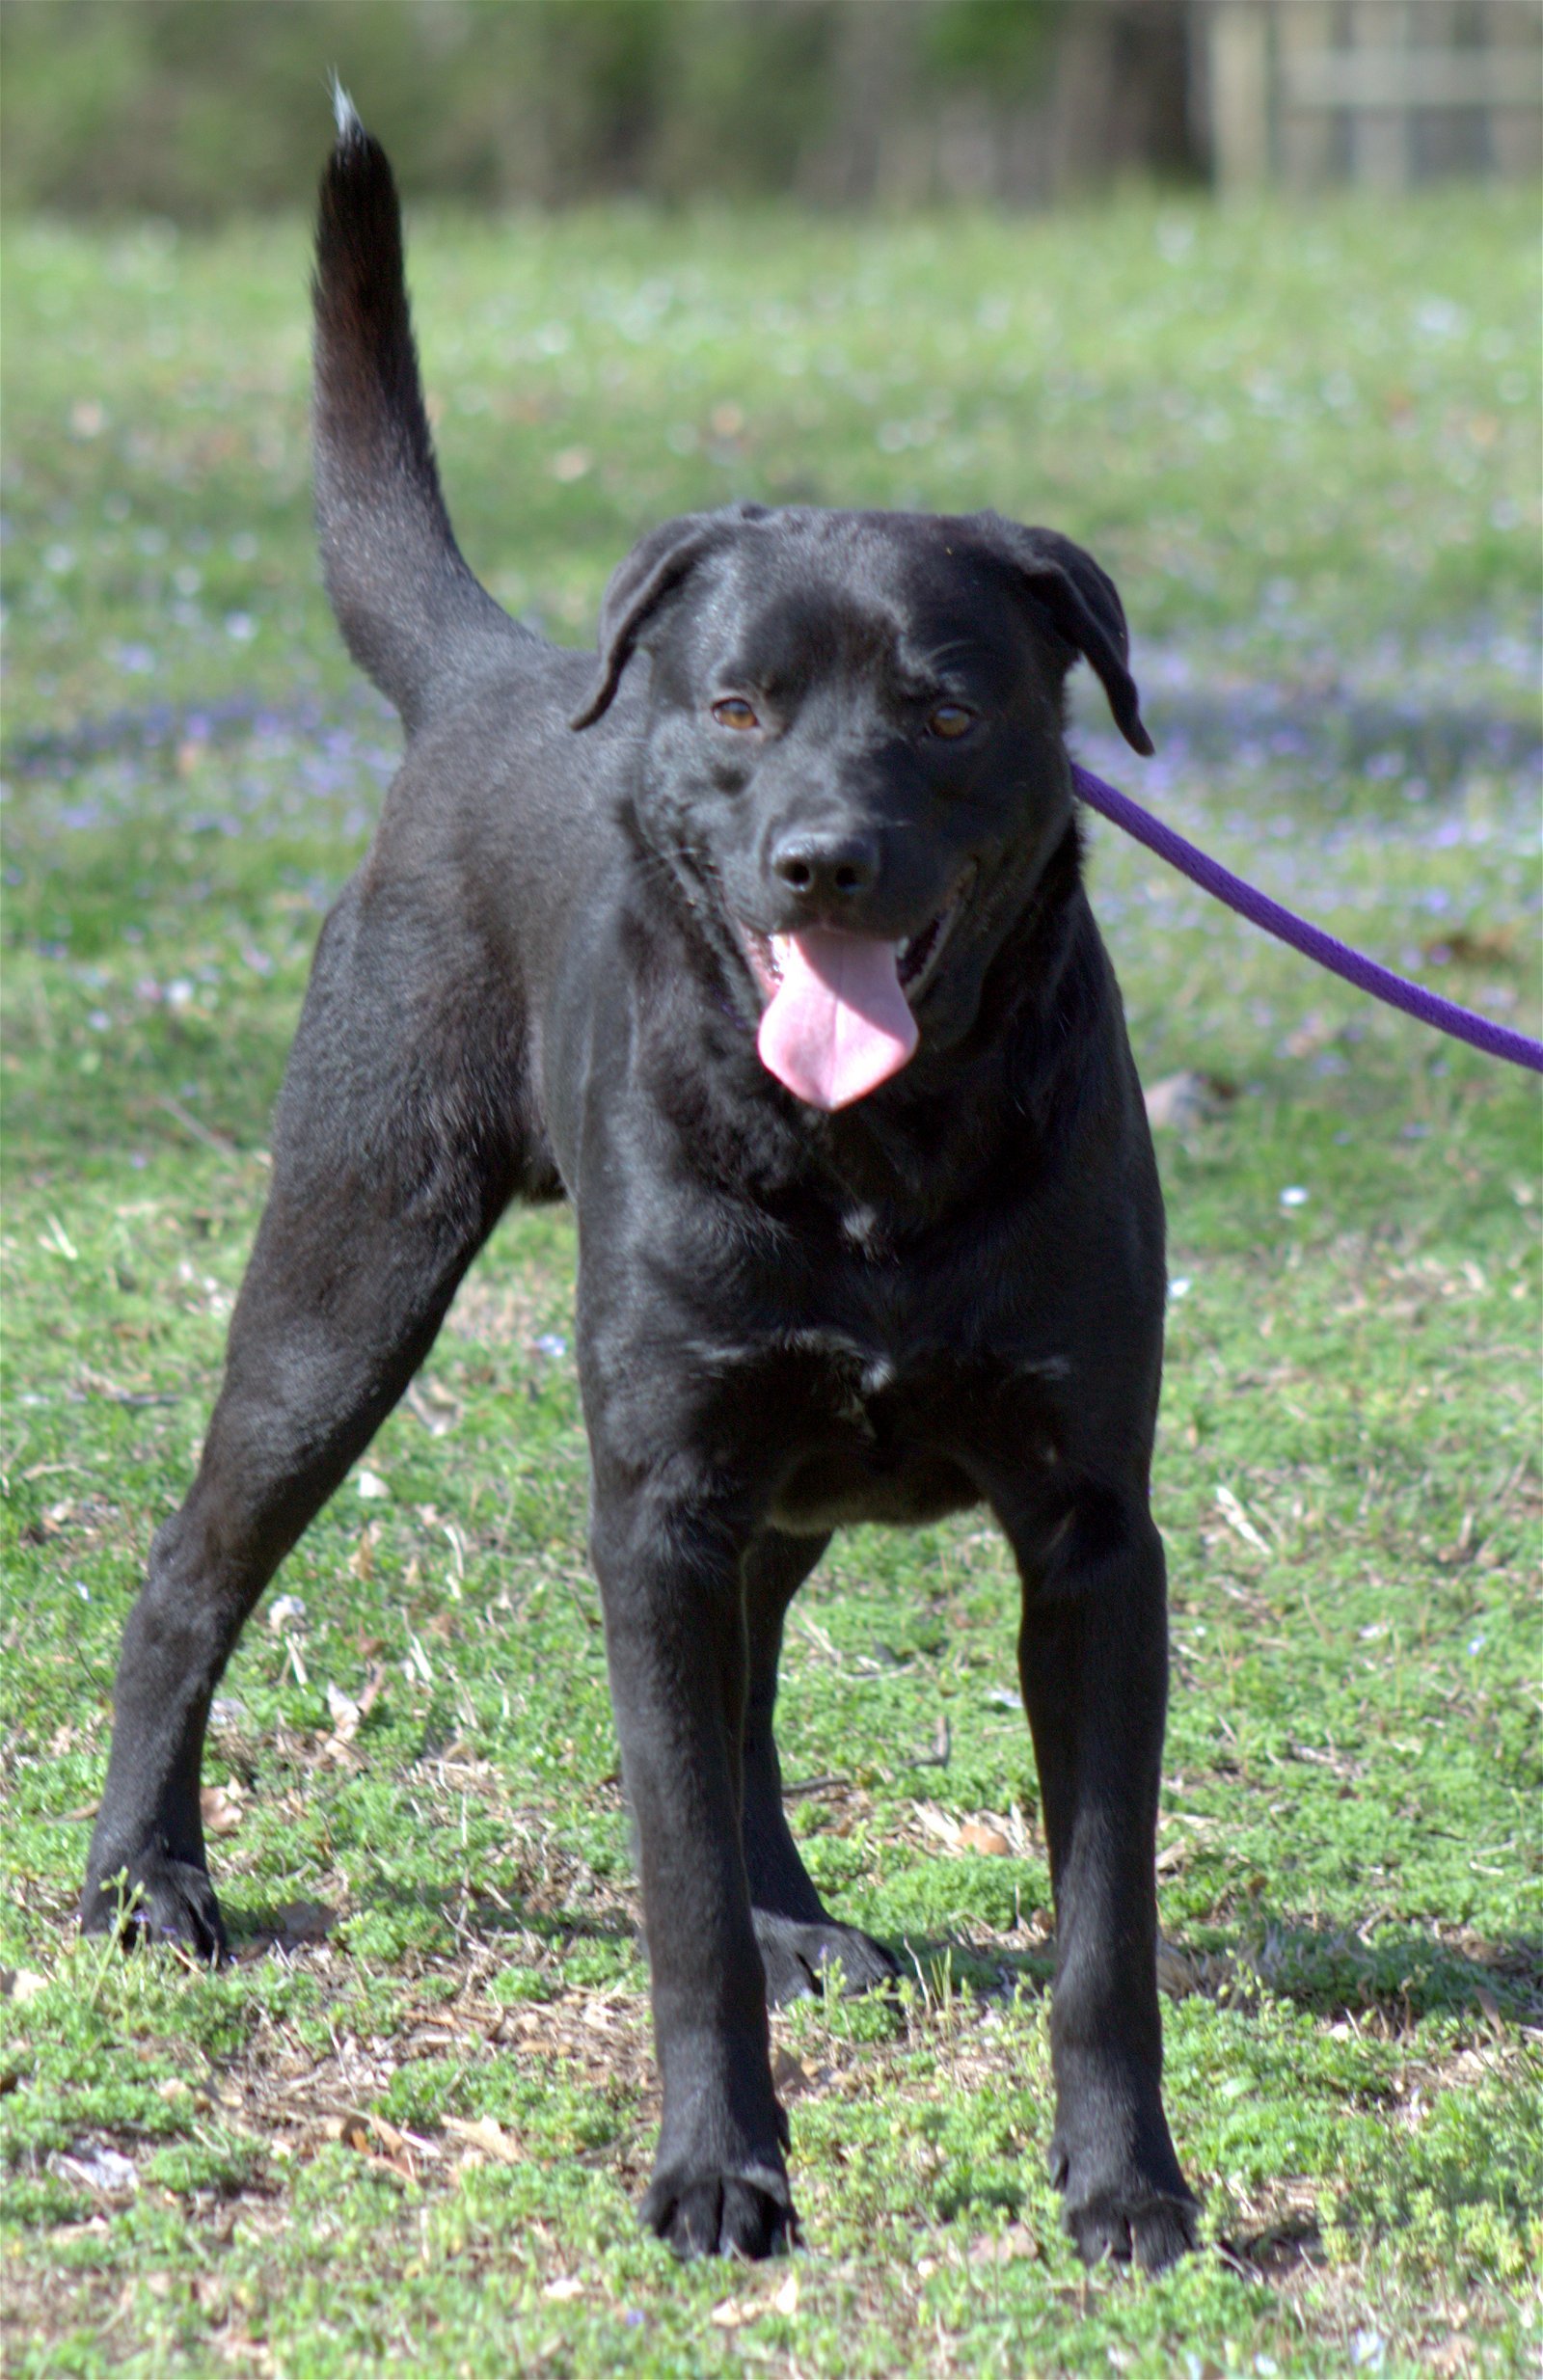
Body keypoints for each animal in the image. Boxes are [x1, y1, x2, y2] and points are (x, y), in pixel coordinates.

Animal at [78, 111, 1200, 2265]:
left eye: (946, 705)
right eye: (740, 707)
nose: (821, 859)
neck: (873, 1160)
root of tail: (487, 680)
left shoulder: (1092, 1538)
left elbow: (1102, 1920)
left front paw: (1125, 2186)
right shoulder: (653, 1504)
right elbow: (671, 1891)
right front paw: (717, 2168)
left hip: (764, 1462)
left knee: (750, 1667)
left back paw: (798, 1911)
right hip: (350, 1271)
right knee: (192, 1571)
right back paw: (142, 1880)